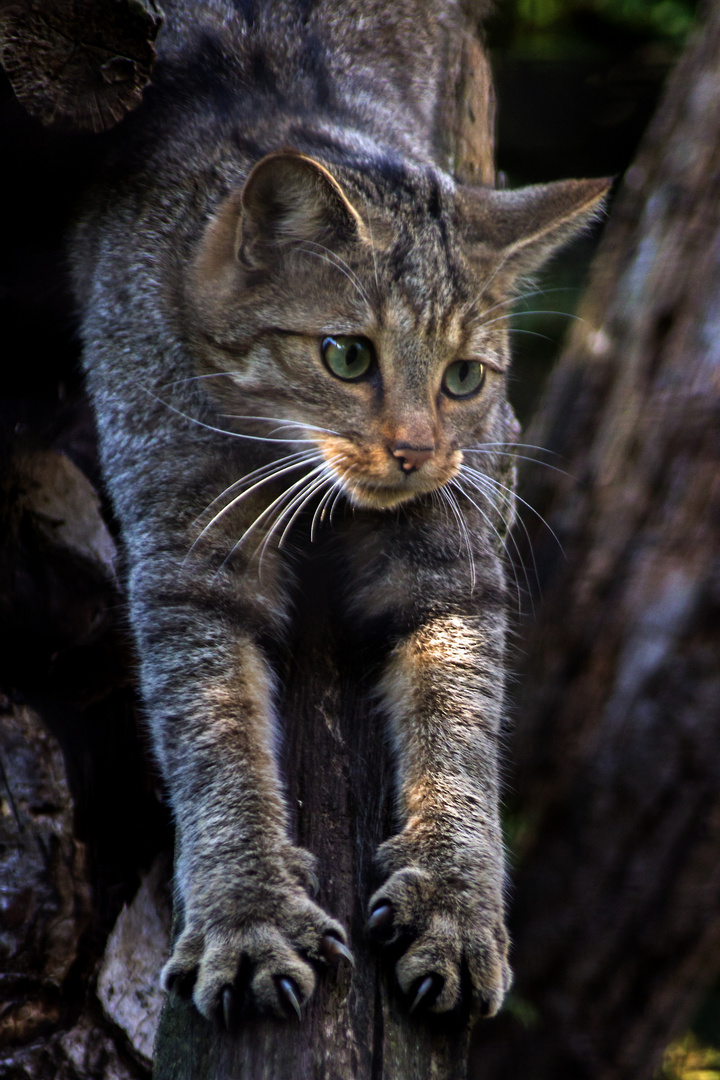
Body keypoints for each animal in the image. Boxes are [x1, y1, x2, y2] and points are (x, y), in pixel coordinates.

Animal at [70, 0, 608, 1032]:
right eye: (347, 357)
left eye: (464, 378)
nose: (416, 450)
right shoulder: (187, 559)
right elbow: (217, 738)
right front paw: (247, 911)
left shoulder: (452, 557)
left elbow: (461, 725)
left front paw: (457, 900)